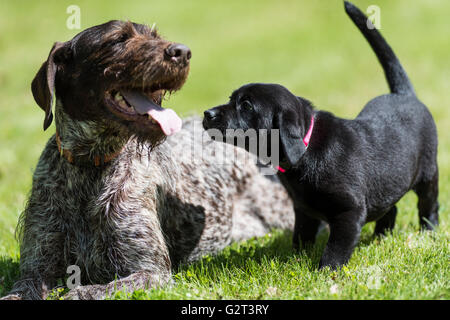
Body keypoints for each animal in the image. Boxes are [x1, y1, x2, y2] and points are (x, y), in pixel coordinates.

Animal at [202, 1, 438, 268]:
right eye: (232, 99)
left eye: (246, 106)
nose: (207, 114)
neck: (305, 150)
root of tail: (403, 93)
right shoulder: (303, 209)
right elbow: (301, 235)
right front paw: (295, 259)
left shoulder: (349, 210)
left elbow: (336, 246)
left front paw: (326, 270)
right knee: (390, 206)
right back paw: (381, 236)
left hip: (428, 174)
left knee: (429, 206)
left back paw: (428, 232)